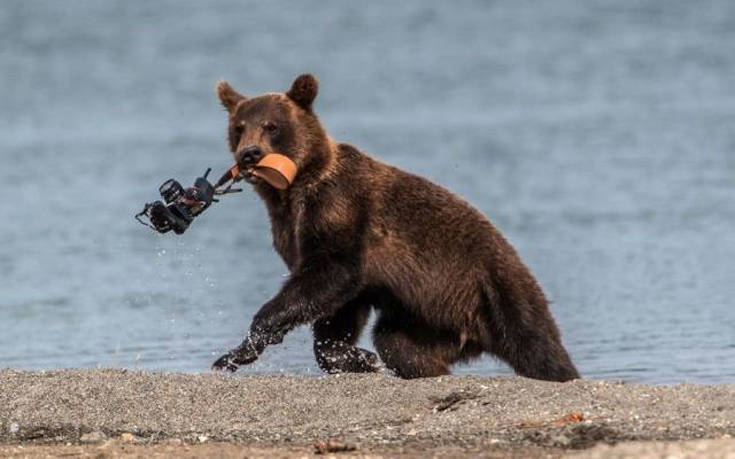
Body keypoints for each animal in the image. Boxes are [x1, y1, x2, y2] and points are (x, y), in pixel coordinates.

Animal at [213, 73, 580, 382]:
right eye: (239, 127)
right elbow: (340, 306)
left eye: (271, 126)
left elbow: (331, 274)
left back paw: (563, 372)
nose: (249, 154)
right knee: (399, 344)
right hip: (430, 317)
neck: (294, 190)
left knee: (536, 345)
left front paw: (249, 340)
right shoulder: (293, 231)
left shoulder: (340, 211)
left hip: (497, 288)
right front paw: (359, 358)